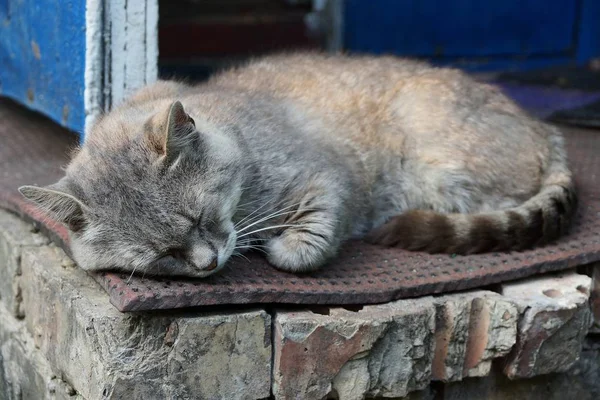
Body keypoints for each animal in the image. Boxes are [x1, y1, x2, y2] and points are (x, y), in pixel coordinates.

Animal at [19, 52, 576, 278]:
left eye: (200, 219)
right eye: (161, 254)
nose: (207, 264)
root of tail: (545, 130)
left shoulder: (328, 178)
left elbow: (306, 242)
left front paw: (279, 245)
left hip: (440, 167)